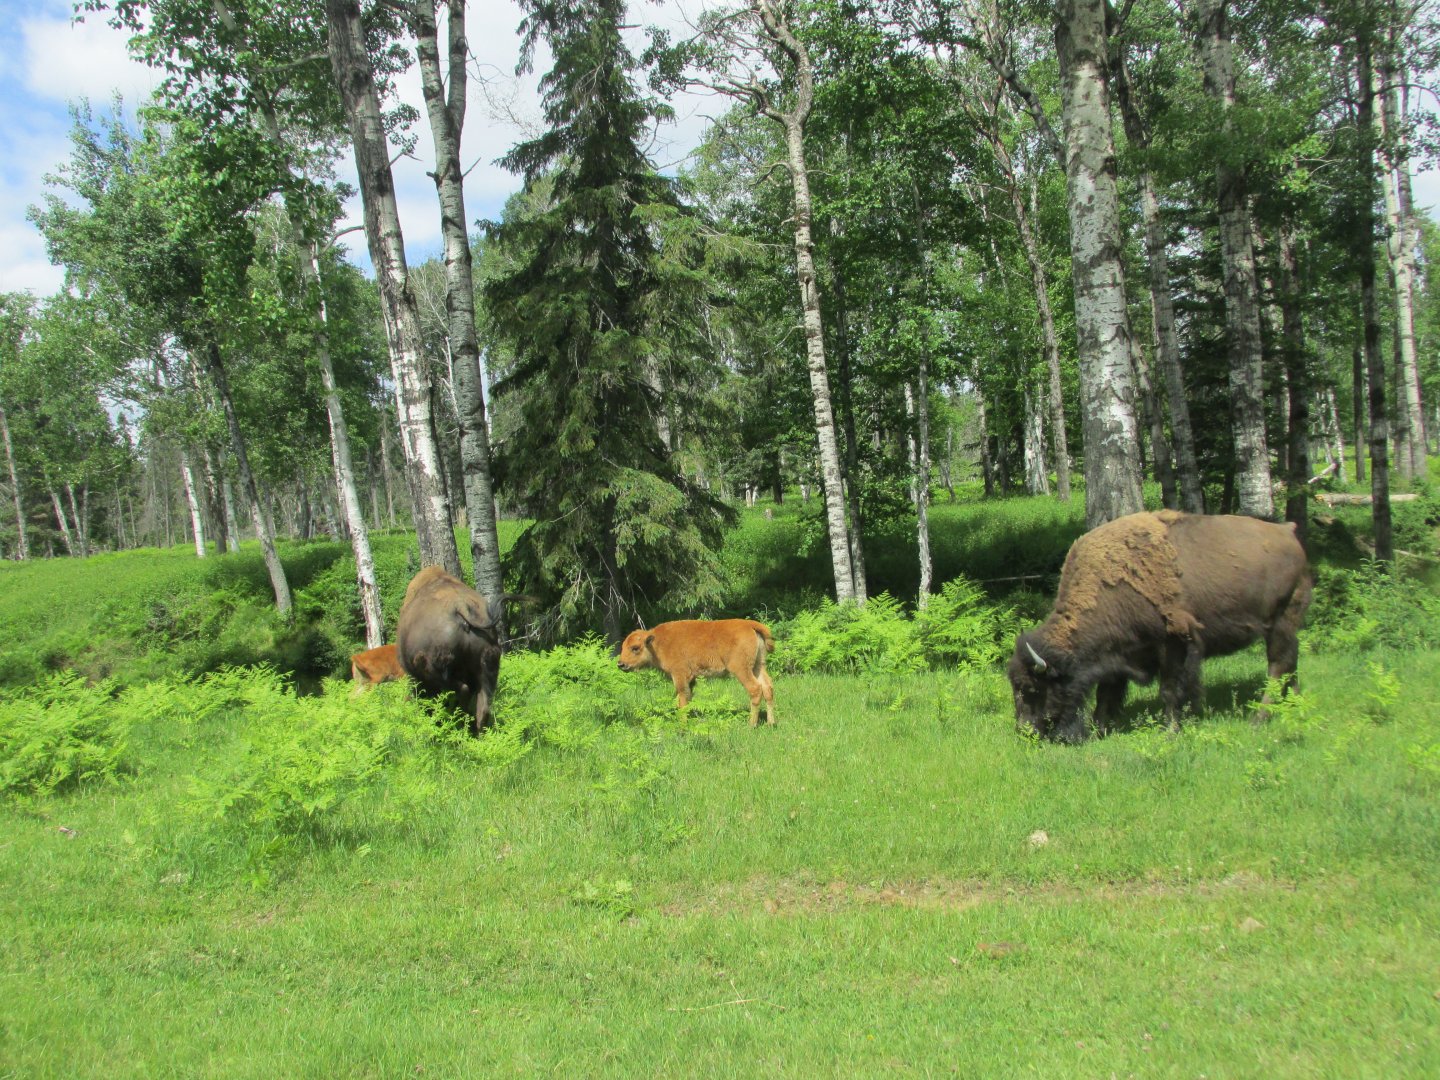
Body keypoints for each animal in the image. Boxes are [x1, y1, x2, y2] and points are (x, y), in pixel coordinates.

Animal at [1008, 510, 1311, 743]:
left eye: (1033, 689)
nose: (1025, 732)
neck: (1109, 587)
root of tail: (1287, 532)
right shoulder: (1115, 656)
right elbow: (1106, 694)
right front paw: (1098, 729)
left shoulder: (1171, 644)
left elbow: (1169, 690)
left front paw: (1171, 730)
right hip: (1284, 627)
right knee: (1290, 663)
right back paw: (1296, 707)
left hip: (1280, 622)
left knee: (1278, 666)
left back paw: (1259, 718)